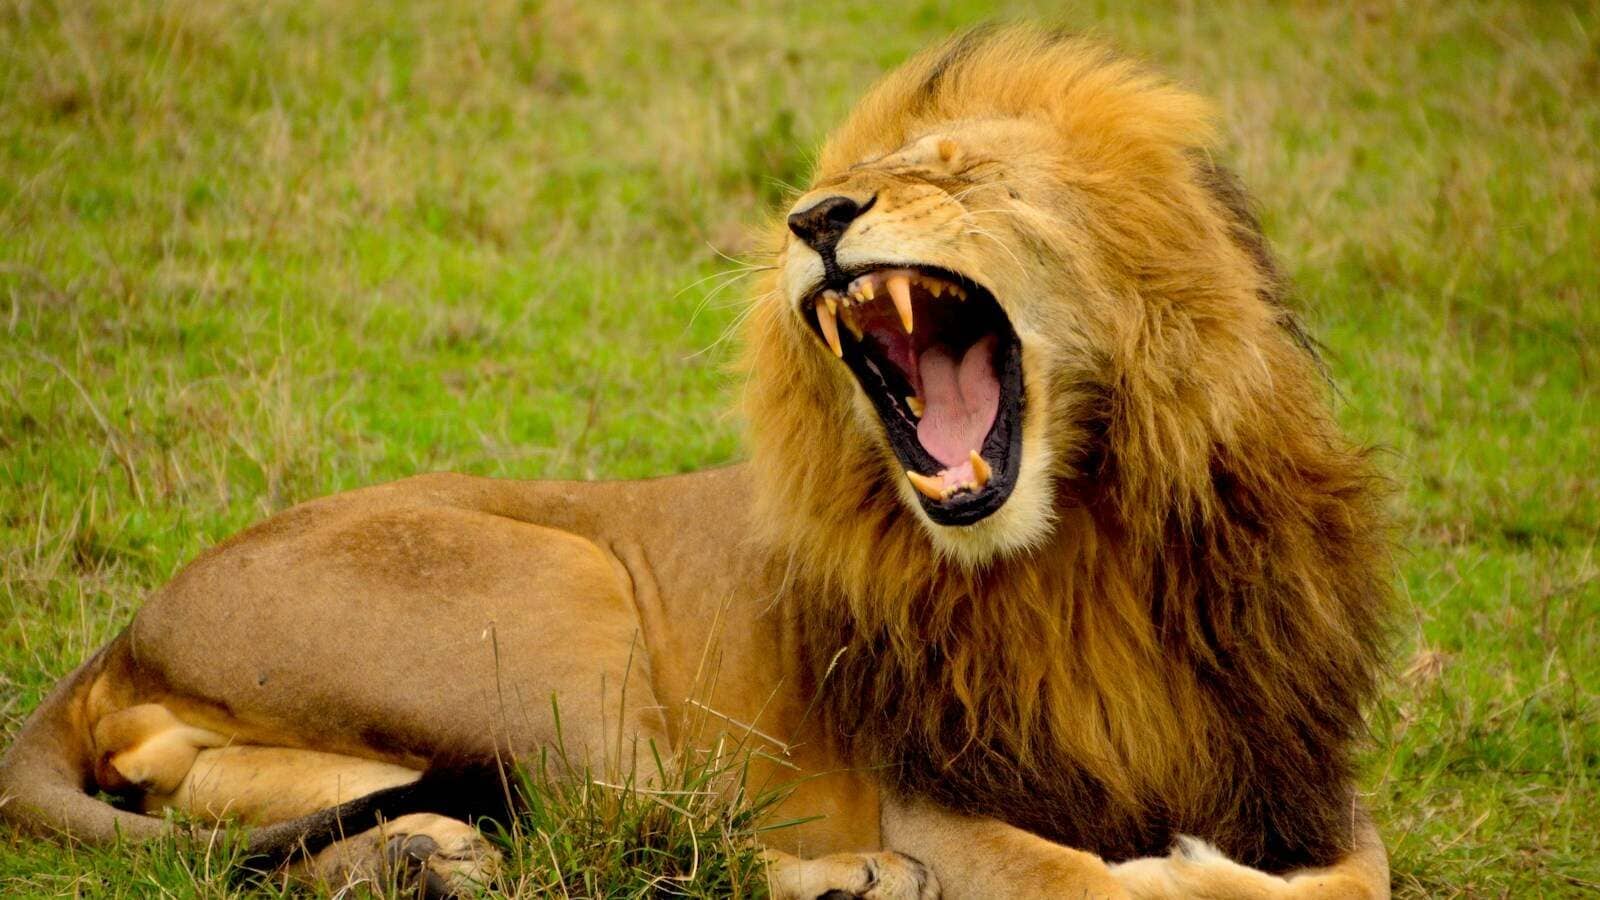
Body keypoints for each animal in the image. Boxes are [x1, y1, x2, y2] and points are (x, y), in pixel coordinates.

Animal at [0, 26, 1393, 899]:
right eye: (840, 182)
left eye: (958, 173)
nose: (815, 219)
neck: (1087, 540)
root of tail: (130, 625)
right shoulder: (933, 793)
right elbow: (1095, 883)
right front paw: (1171, 868)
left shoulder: (1286, 763)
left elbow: (1358, 874)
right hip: (555, 599)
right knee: (633, 830)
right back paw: (845, 881)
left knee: (230, 812)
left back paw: (420, 858)